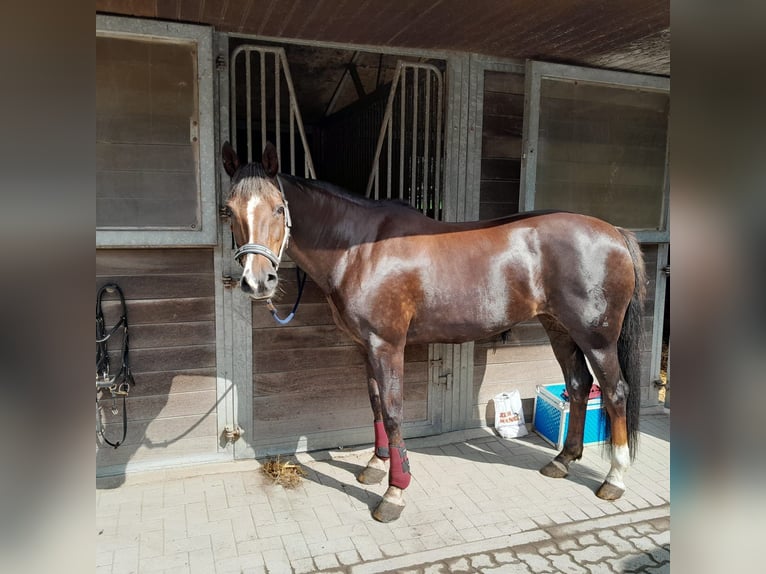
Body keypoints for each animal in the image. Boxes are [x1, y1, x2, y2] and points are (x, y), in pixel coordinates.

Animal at [222, 142, 648, 524]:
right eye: (228, 210)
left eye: (279, 208)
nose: (257, 281)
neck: (358, 249)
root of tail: (614, 232)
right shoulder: (365, 347)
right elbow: (375, 404)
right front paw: (376, 465)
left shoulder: (387, 346)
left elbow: (393, 411)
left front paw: (394, 493)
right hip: (560, 328)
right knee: (578, 386)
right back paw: (562, 460)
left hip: (597, 338)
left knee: (615, 392)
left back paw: (614, 479)